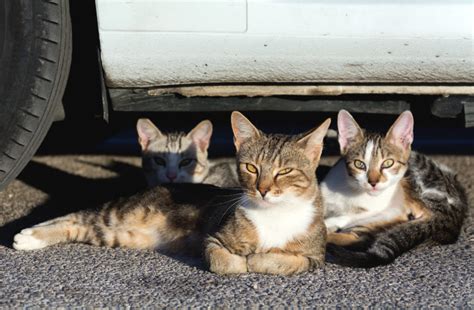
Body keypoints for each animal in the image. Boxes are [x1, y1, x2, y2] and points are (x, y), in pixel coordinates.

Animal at [12, 112, 330, 276]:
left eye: (285, 171)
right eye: (251, 167)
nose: (262, 190)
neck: (274, 214)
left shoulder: (314, 257)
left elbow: (287, 261)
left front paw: (258, 259)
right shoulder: (213, 238)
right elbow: (223, 262)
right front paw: (241, 262)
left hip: (120, 235)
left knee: (79, 225)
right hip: (123, 213)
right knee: (76, 216)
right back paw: (28, 234)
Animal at [322, 110, 466, 268]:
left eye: (388, 163)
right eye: (359, 164)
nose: (373, 182)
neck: (352, 189)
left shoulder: (375, 210)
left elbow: (347, 218)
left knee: (359, 239)